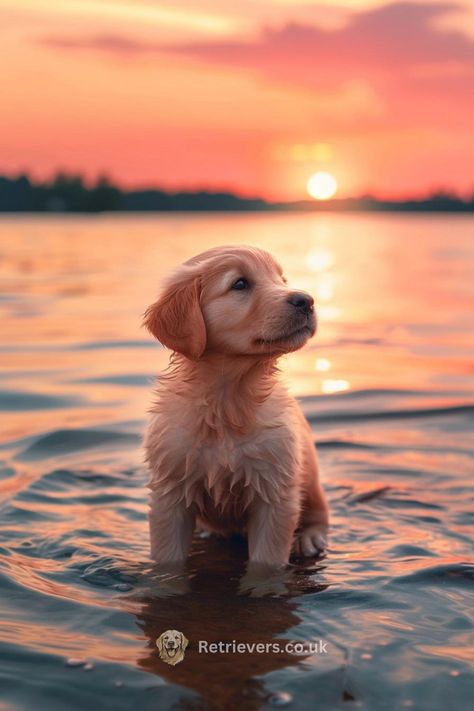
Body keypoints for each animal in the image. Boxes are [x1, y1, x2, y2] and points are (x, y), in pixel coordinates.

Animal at [144, 245, 328, 580]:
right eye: (240, 284)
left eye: (281, 279)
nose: (306, 300)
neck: (228, 401)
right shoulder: (170, 493)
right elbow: (168, 561)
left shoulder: (275, 492)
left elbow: (265, 565)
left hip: (309, 476)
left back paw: (309, 537)